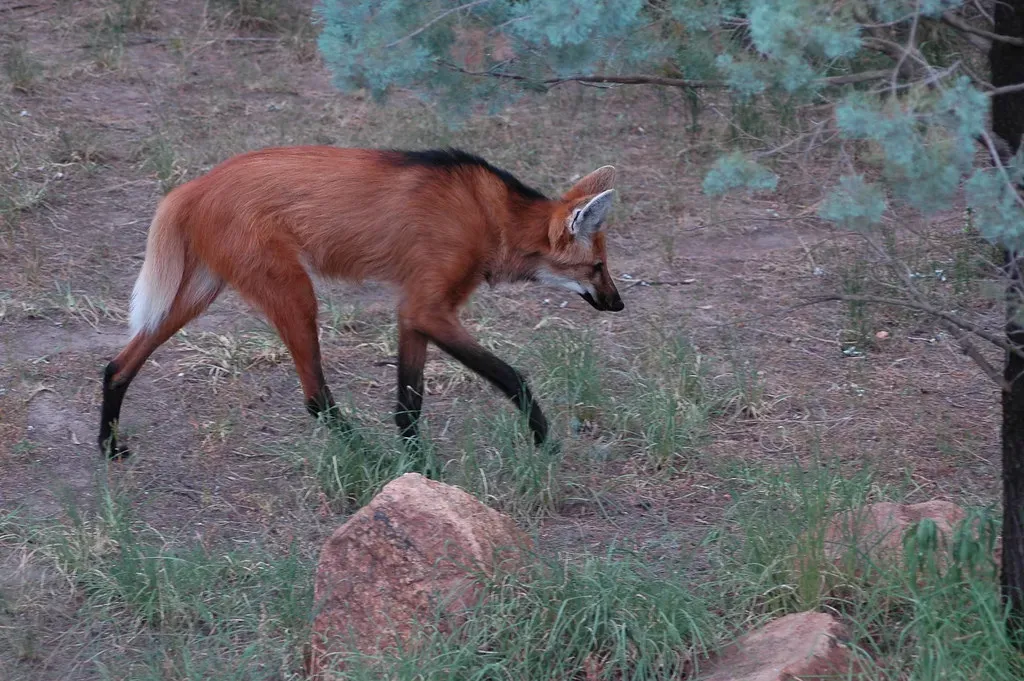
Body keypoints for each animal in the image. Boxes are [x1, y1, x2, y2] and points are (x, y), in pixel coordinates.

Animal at [98, 146, 625, 458]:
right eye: (597, 267)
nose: (618, 304)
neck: (493, 218)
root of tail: (193, 186)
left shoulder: (415, 310)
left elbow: (409, 403)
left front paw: (417, 464)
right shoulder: (428, 308)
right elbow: (511, 375)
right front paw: (543, 438)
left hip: (202, 291)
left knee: (119, 363)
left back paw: (108, 445)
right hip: (293, 291)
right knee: (314, 397)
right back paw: (363, 450)